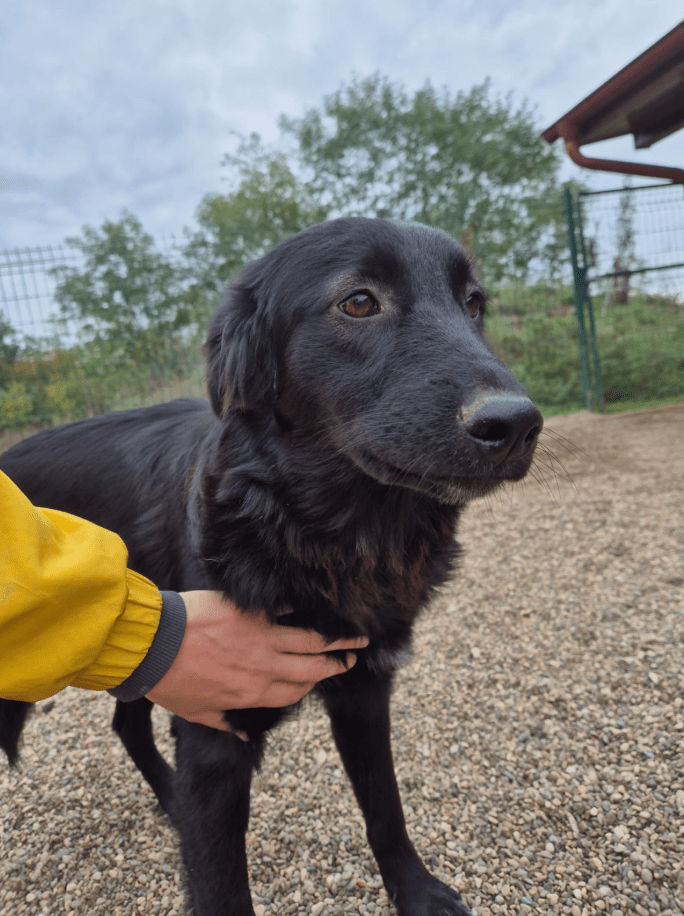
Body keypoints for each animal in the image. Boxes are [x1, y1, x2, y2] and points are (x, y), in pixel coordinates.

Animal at [0, 217, 542, 916]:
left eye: (473, 304)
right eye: (358, 301)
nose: (518, 424)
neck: (323, 537)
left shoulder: (364, 690)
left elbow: (386, 807)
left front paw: (417, 891)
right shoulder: (214, 734)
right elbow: (221, 887)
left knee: (127, 722)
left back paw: (170, 802)